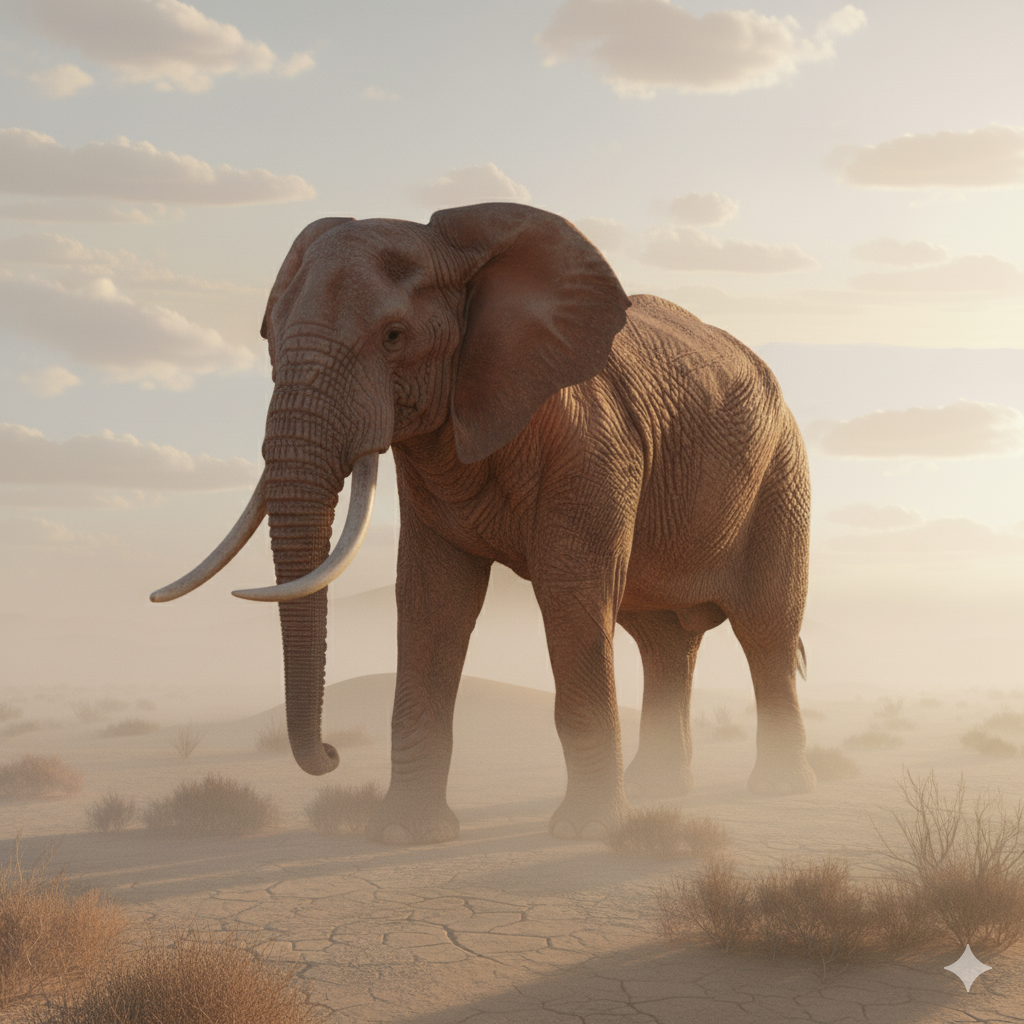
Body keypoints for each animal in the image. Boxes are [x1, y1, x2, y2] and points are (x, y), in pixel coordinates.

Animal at [152, 202, 815, 845]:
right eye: (269, 337)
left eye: (394, 336)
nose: (334, 752)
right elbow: (433, 597)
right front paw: (404, 835)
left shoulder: (593, 444)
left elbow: (571, 593)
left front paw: (583, 832)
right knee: (662, 640)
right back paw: (658, 791)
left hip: (783, 477)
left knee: (766, 628)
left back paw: (775, 788)